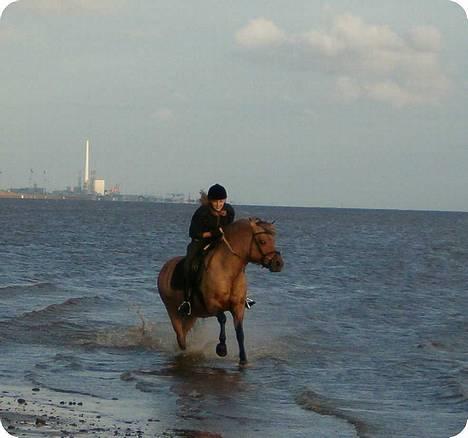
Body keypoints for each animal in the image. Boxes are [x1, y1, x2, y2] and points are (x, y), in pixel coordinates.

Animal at [157, 217, 284, 364]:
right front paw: (222, 348)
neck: (228, 271)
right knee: (180, 336)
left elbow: (240, 332)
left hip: (192, 315)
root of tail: (165, 268)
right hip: (172, 311)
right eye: (263, 241)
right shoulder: (212, 305)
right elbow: (222, 318)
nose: (279, 263)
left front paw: (243, 359)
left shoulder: (238, 307)